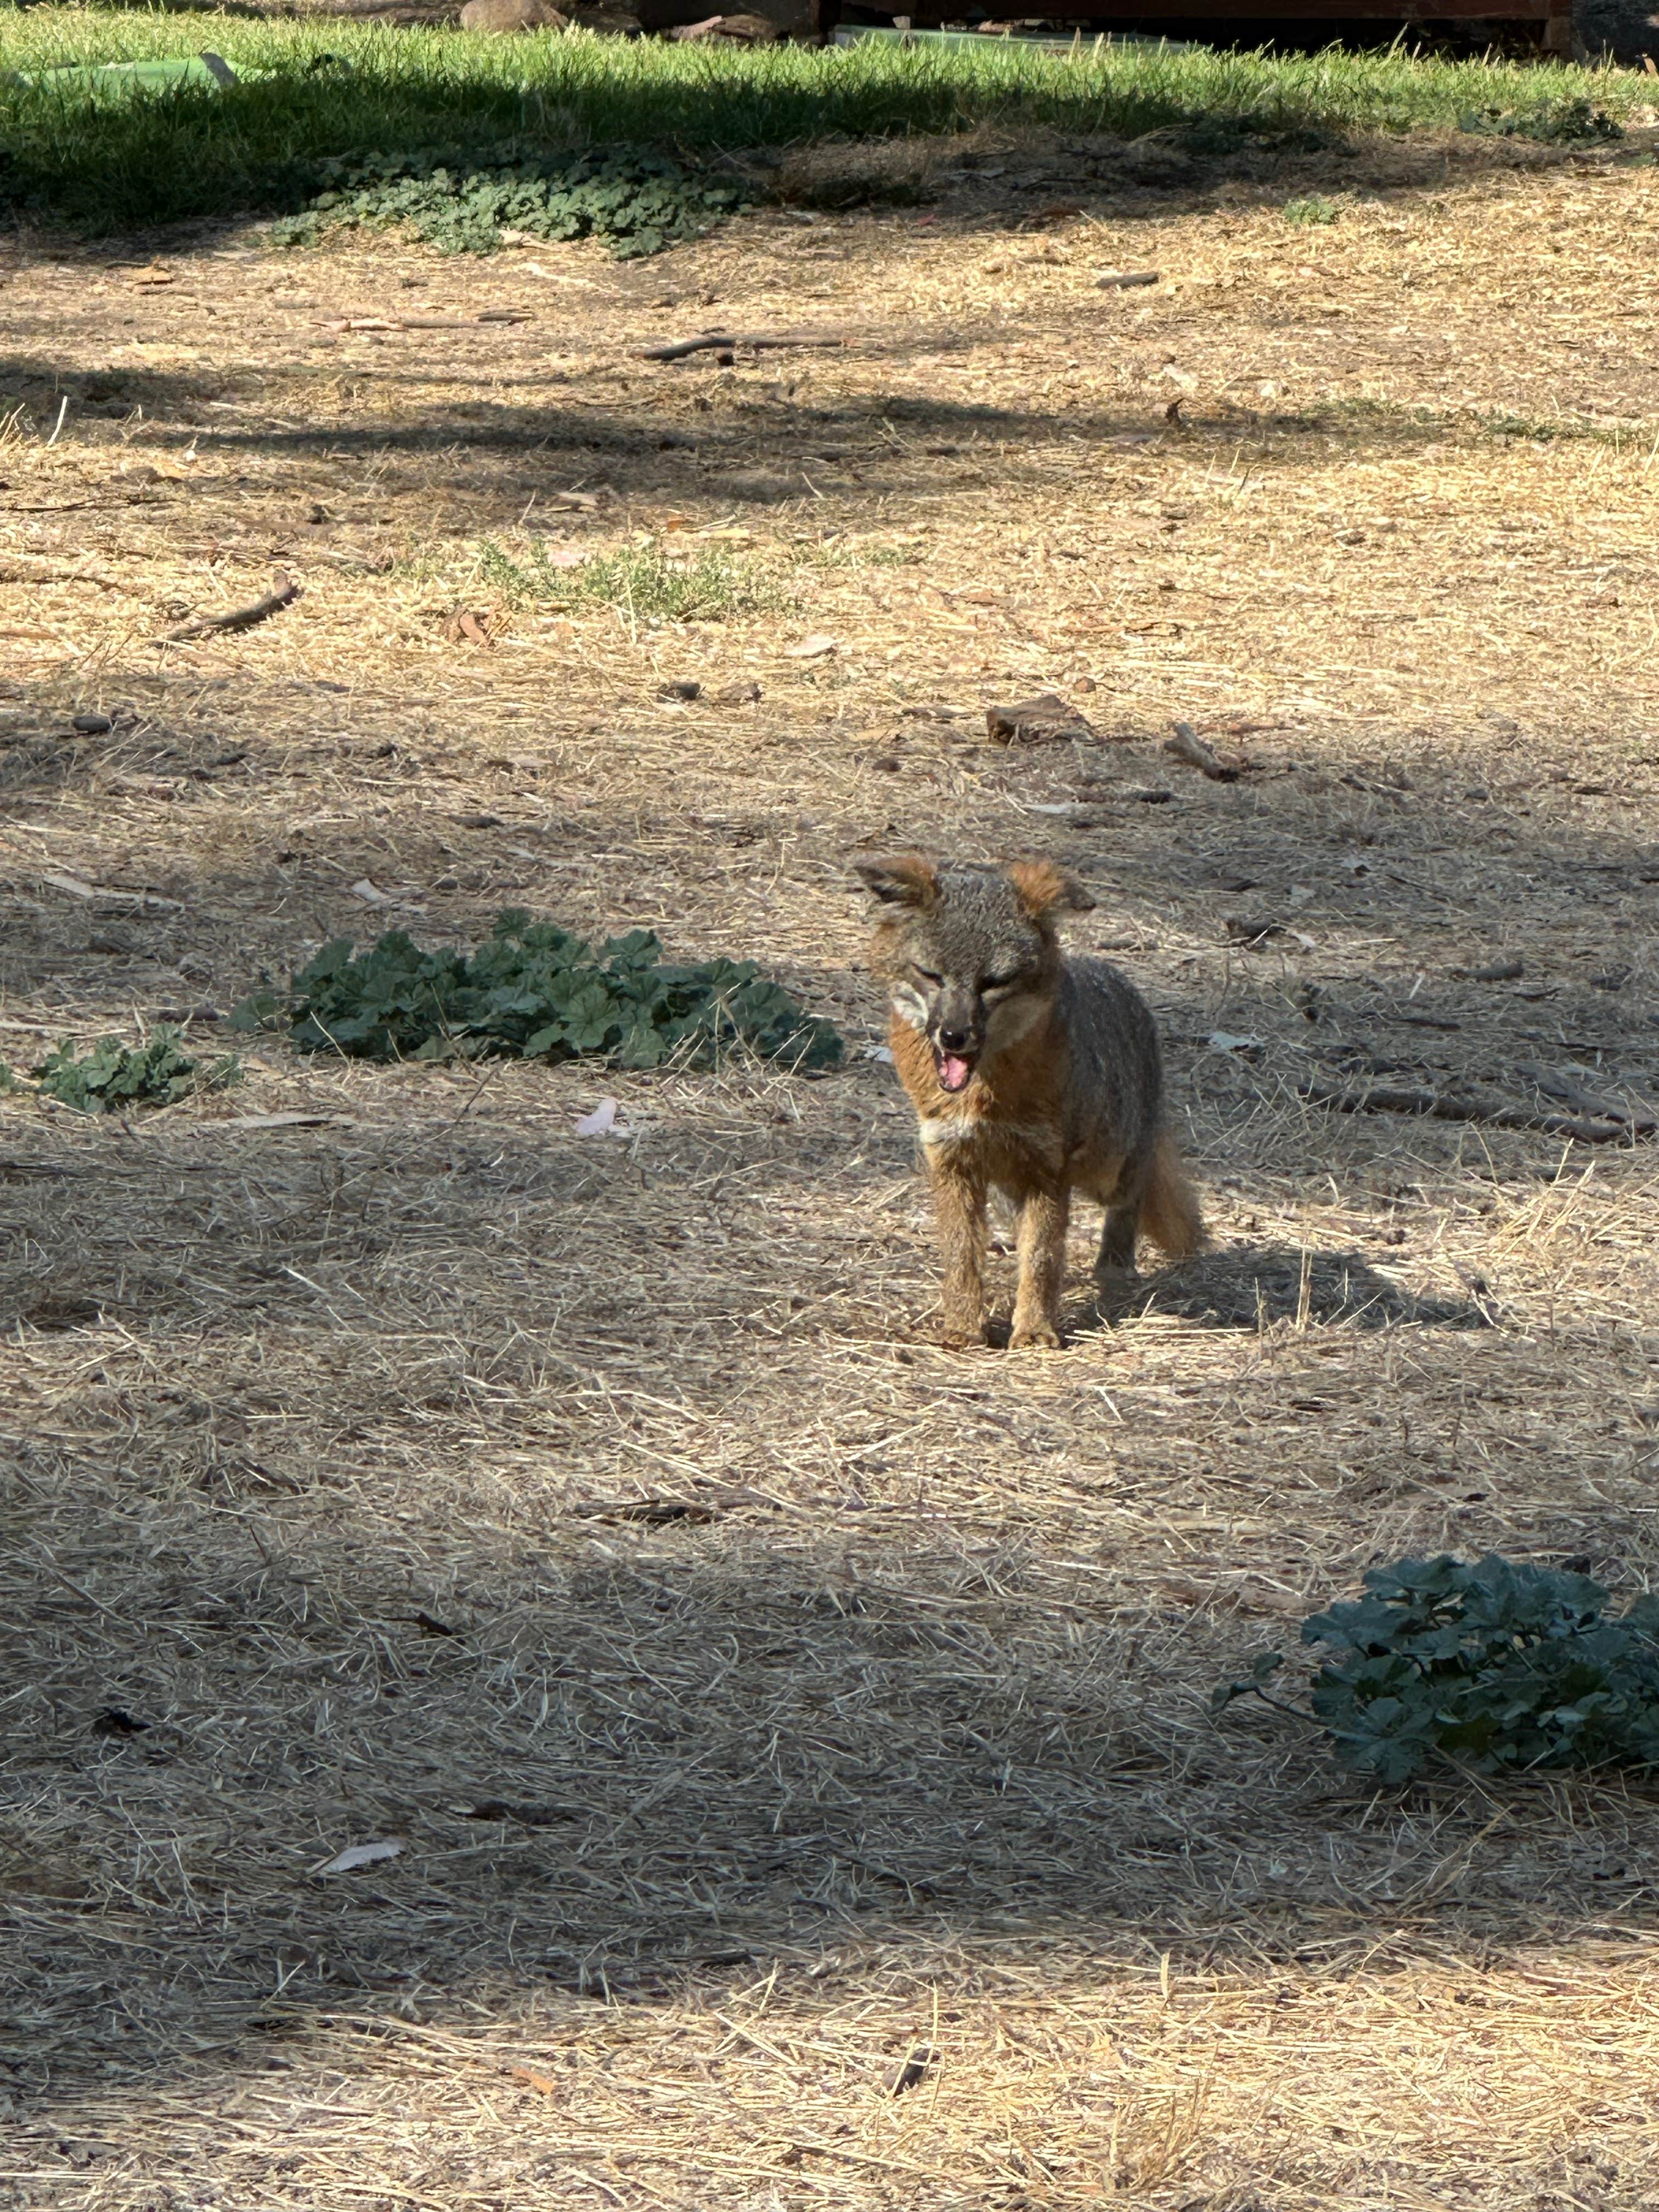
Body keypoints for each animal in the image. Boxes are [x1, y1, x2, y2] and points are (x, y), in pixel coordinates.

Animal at [862, 854, 1203, 1345]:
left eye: (993, 982)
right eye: (931, 975)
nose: (954, 1036)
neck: (983, 1098)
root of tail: (1115, 975)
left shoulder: (1047, 1169)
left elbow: (1042, 1258)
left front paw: (1035, 1330)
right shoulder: (952, 1161)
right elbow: (961, 1255)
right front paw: (963, 1327)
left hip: (1108, 1170)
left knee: (1130, 1200)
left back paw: (1115, 1268)